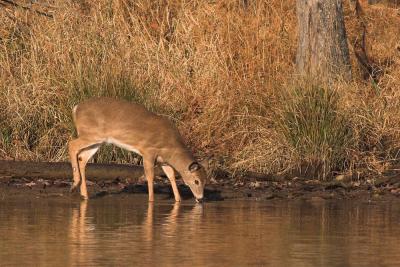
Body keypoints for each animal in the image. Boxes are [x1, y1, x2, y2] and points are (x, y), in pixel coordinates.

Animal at [69, 98, 206, 203]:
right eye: (196, 181)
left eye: (205, 181)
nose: (200, 198)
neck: (170, 147)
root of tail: (76, 108)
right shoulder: (148, 151)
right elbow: (150, 176)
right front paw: (151, 200)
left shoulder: (163, 160)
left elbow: (171, 175)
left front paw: (178, 200)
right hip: (91, 134)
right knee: (72, 144)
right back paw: (74, 184)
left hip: (97, 140)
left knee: (82, 158)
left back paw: (84, 194)